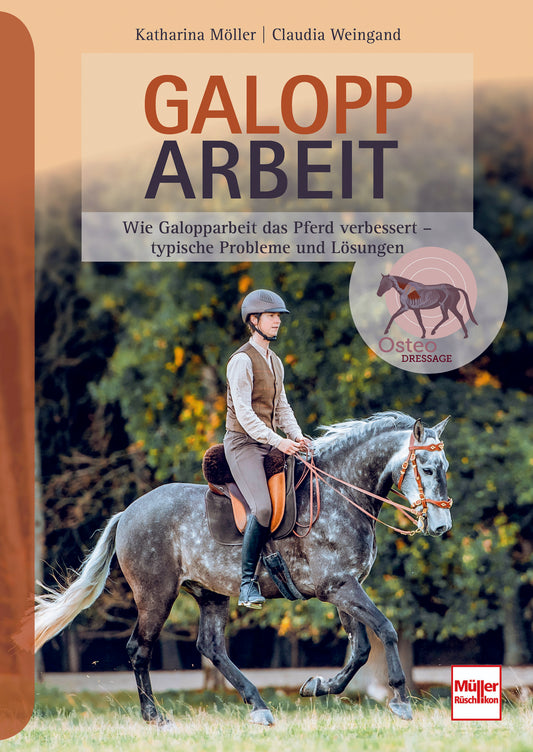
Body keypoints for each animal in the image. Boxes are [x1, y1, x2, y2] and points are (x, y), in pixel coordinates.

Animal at [34, 412, 453, 727]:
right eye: (428, 468)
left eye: (444, 466)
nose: (441, 526)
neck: (342, 494)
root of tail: (127, 514)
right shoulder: (340, 588)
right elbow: (385, 629)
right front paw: (400, 699)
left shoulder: (344, 587)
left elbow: (361, 649)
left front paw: (318, 686)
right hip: (156, 596)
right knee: (140, 650)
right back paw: (155, 717)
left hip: (211, 594)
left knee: (211, 647)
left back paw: (258, 705)